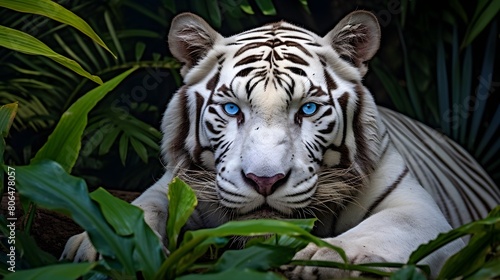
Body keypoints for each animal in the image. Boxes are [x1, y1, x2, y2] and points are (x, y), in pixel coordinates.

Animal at [62, 10, 468, 278]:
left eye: (307, 109)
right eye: (231, 108)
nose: (265, 181)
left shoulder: (422, 213)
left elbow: (385, 228)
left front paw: (326, 259)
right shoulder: (174, 186)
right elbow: (142, 207)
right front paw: (109, 242)